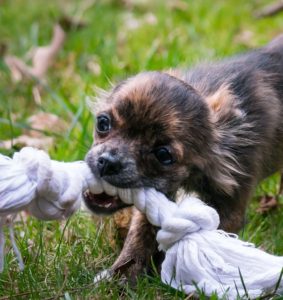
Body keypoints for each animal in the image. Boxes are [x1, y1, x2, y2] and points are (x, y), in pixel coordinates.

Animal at [84, 35, 283, 282]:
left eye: (163, 155)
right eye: (103, 123)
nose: (108, 162)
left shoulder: (230, 206)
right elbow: (140, 235)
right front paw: (122, 274)